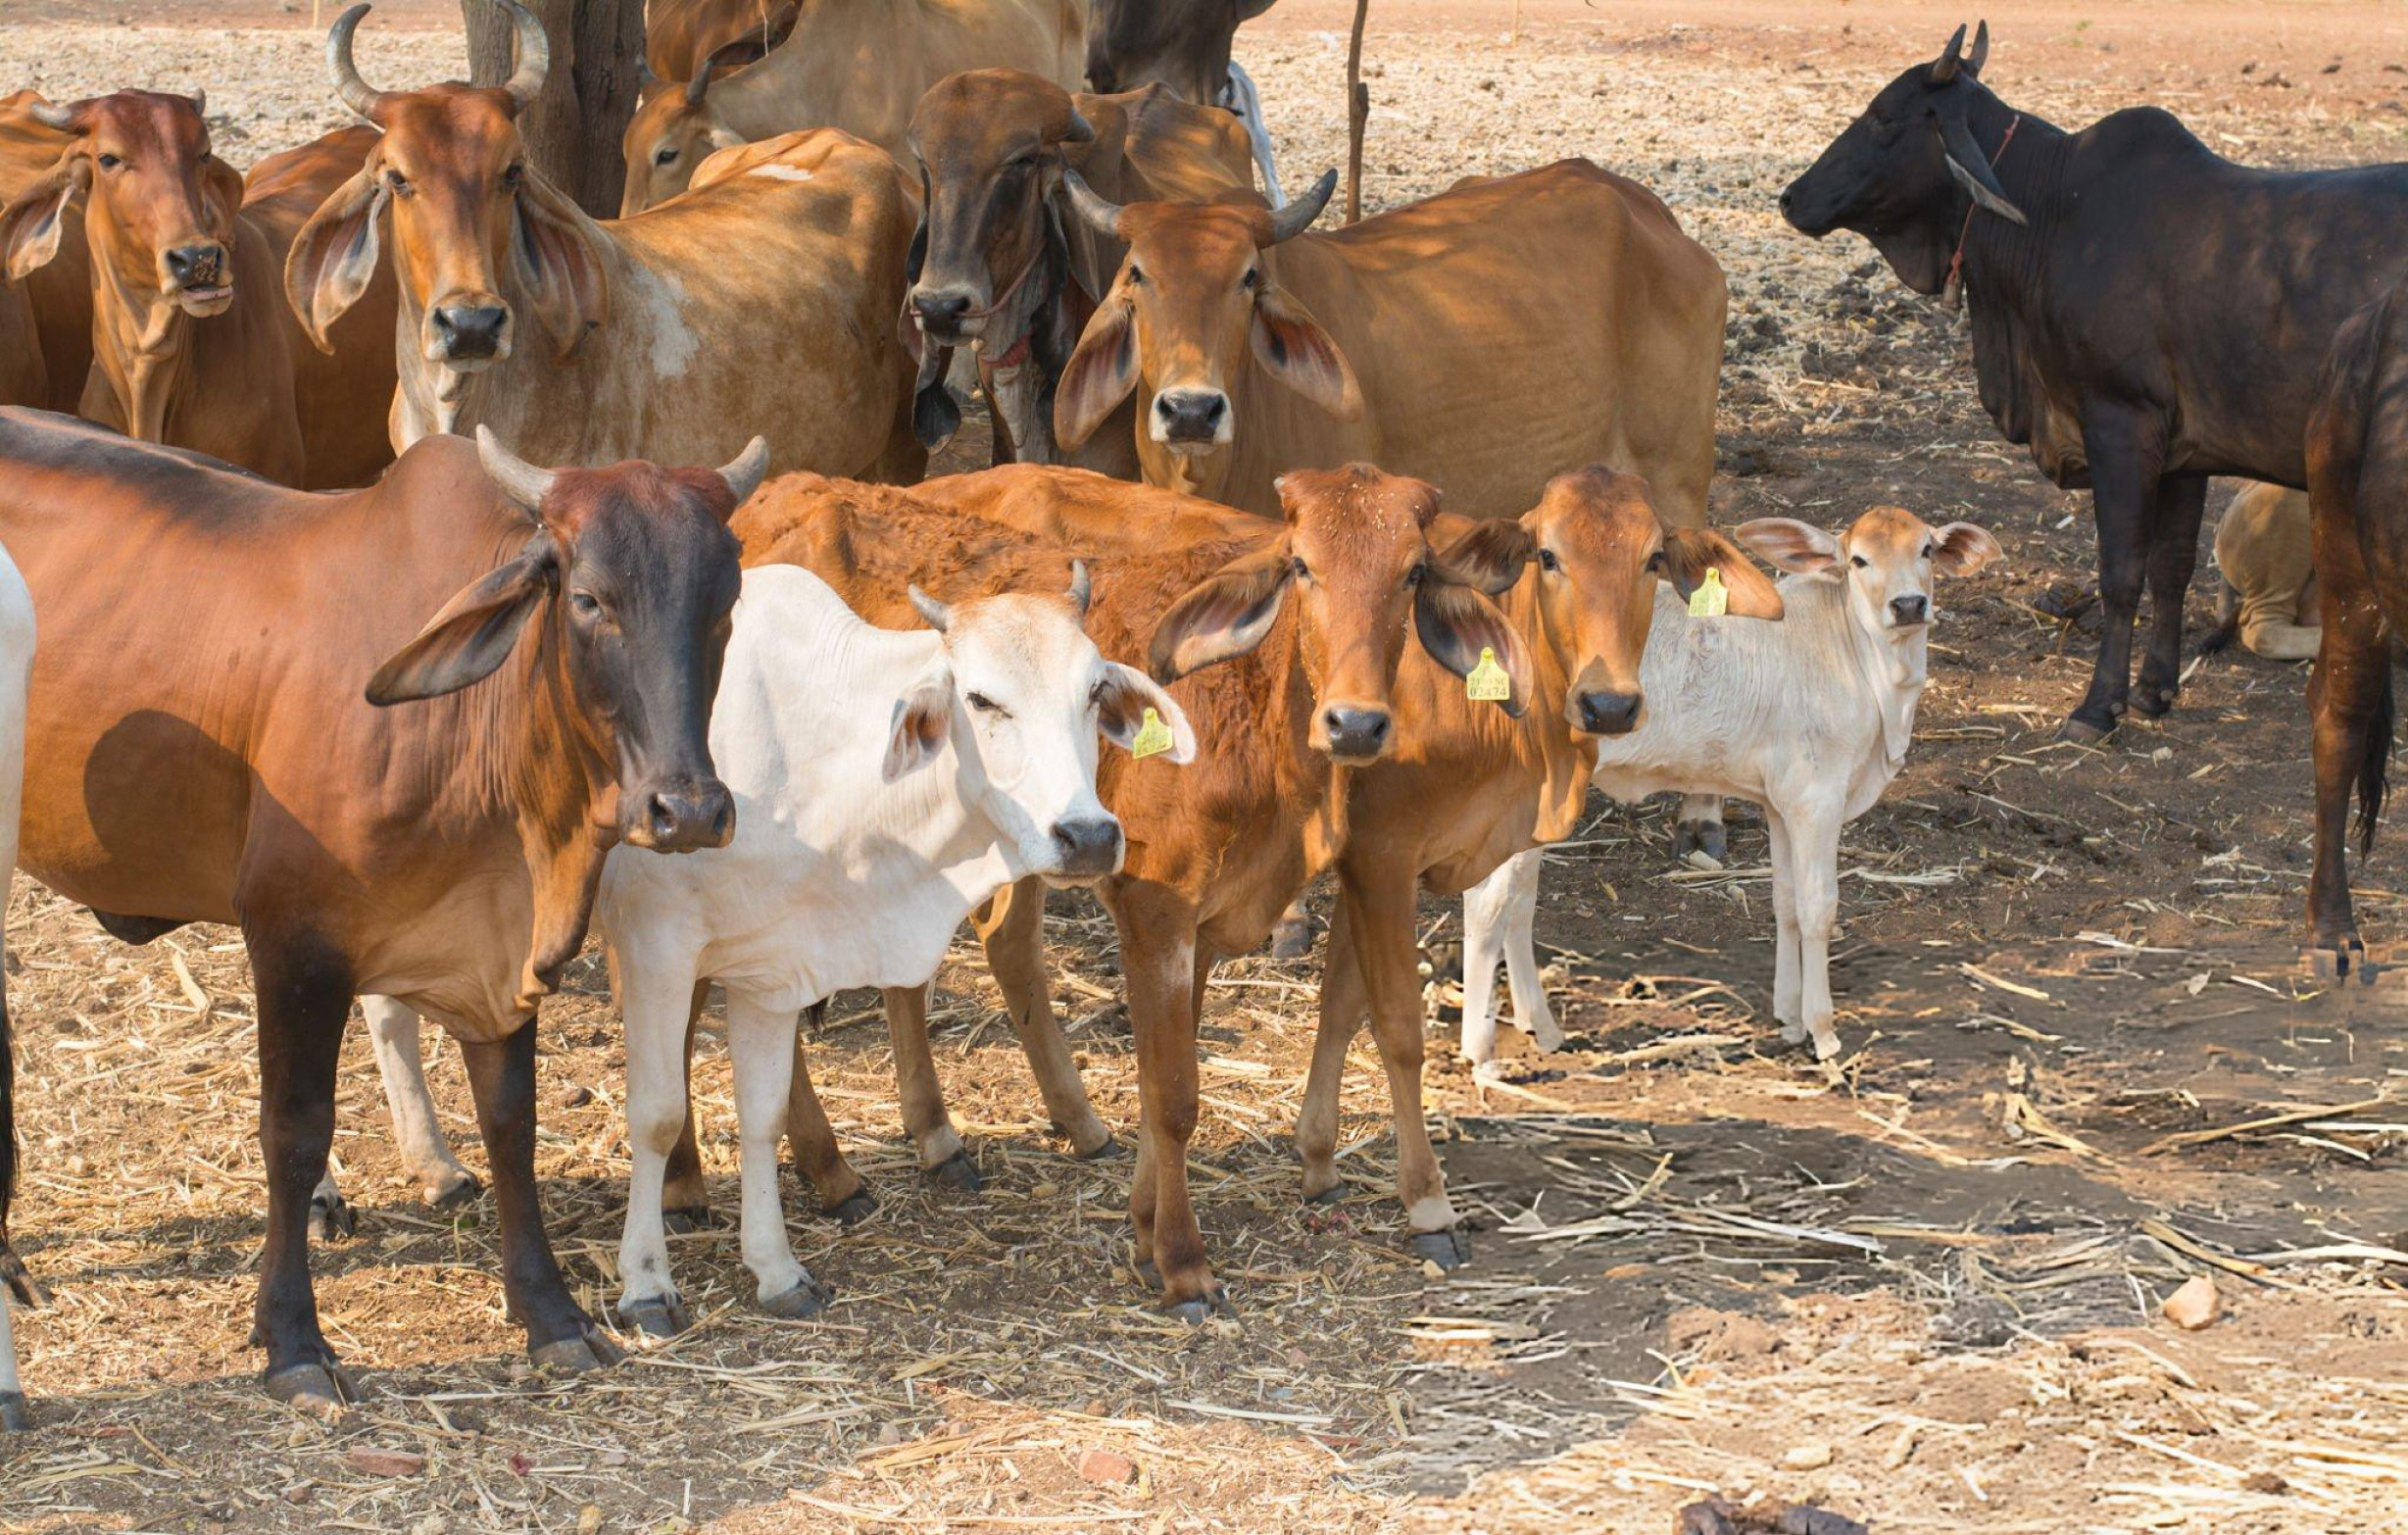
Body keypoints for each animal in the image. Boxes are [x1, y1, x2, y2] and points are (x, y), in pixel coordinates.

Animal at [0, 407, 761, 1412]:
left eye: (724, 602)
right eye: (592, 599)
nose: (689, 810)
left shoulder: (501, 958)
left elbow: (510, 1126)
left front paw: (551, 1315)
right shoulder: (295, 943)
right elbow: (294, 1132)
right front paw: (292, 1339)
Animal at [598, 558, 1194, 1334]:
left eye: (1093, 690)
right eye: (980, 698)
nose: (1088, 836)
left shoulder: (769, 960)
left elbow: (759, 1114)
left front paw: (775, 1269)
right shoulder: (654, 942)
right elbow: (655, 1111)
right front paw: (645, 1282)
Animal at [1288, 468, 1782, 1262]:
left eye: (1652, 559)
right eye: (1547, 556)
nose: (1609, 704)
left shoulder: (1366, 864)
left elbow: (1339, 1004)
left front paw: (1318, 1158)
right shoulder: (1382, 858)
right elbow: (1396, 1026)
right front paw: (1426, 1202)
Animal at [1456, 507, 2001, 1064]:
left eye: (1927, 550)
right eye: (1859, 560)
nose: (1909, 604)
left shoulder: (1783, 804)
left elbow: (1785, 901)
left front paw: (1790, 1019)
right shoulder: (1817, 799)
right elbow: (1818, 908)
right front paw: (1823, 1031)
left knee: (1517, 905)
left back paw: (1540, 1027)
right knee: (1488, 906)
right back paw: (1481, 1050)